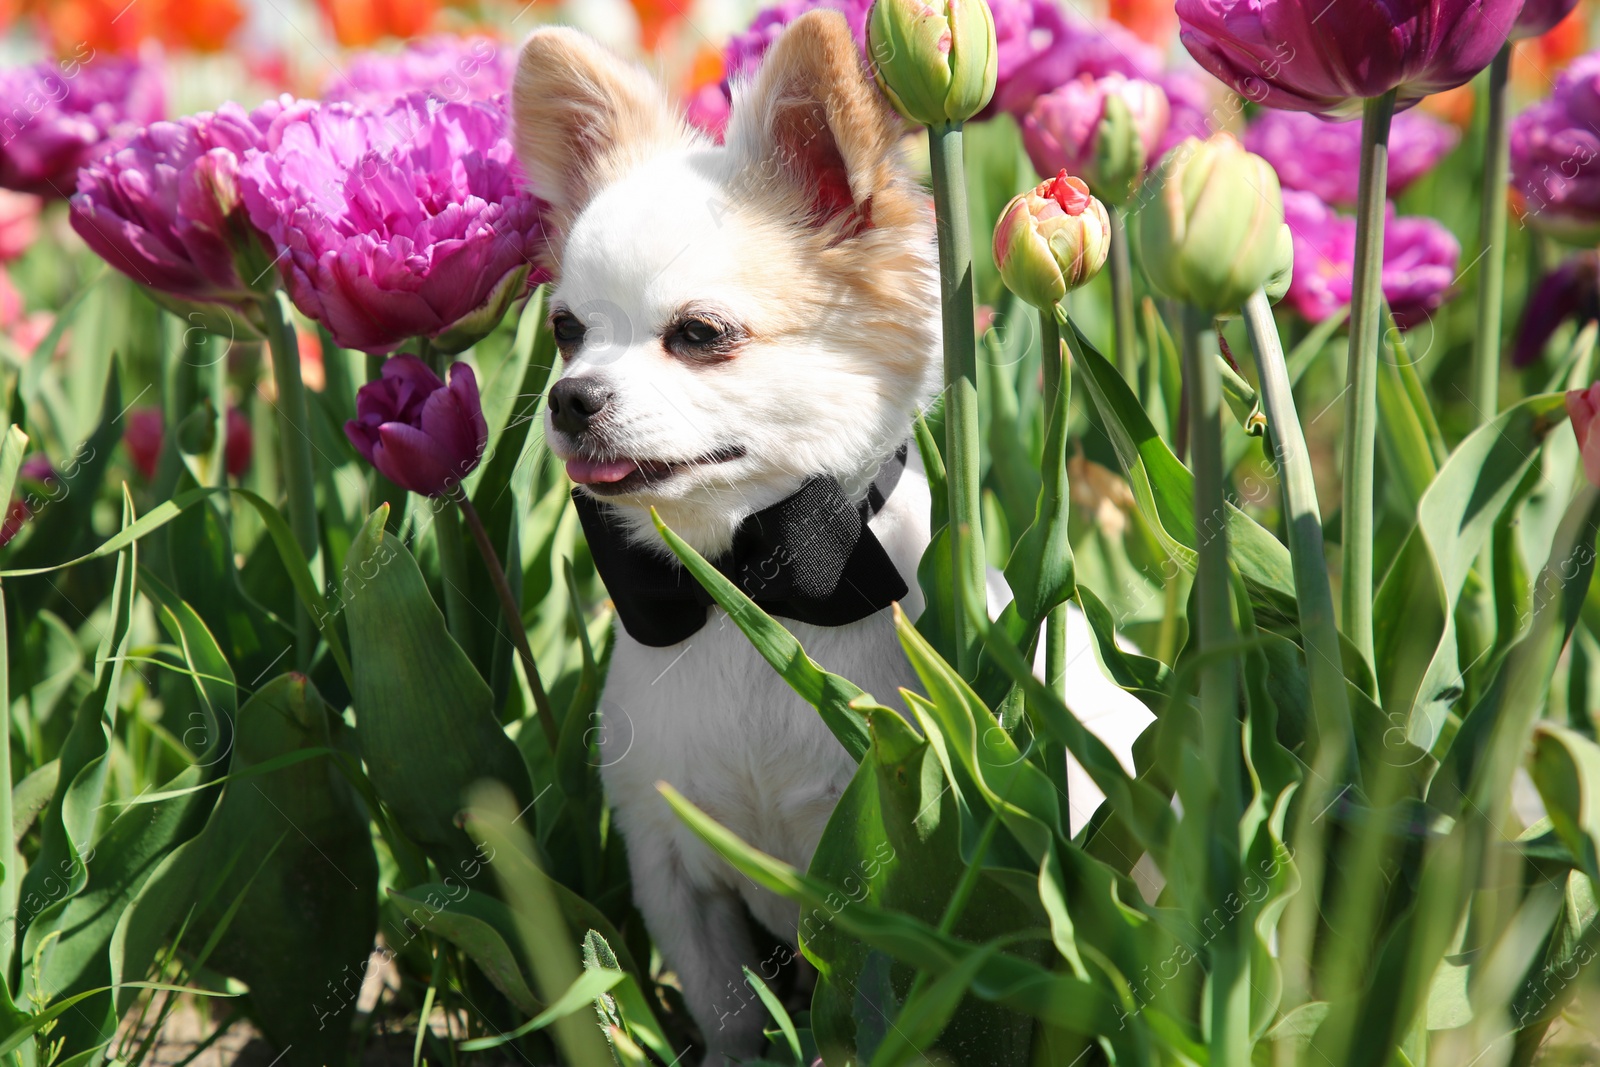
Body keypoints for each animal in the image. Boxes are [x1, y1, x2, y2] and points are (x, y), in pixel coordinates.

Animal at [512, 12, 1152, 1062]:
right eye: (566, 330)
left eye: (699, 334)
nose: (571, 398)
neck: (742, 581)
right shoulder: (670, 867)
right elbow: (729, 1018)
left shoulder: (875, 872)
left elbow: (865, 1009)